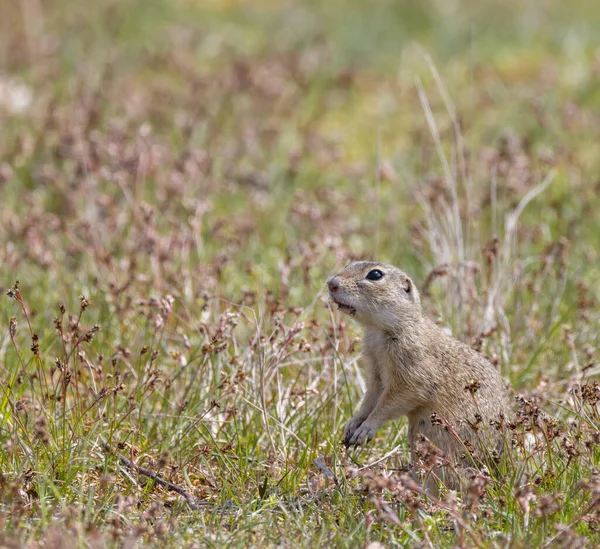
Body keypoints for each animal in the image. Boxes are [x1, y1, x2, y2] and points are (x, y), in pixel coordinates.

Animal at [326, 260, 512, 488]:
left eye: (375, 275)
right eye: (348, 264)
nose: (331, 283)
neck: (383, 331)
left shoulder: (412, 372)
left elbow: (392, 402)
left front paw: (366, 429)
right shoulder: (376, 373)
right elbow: (370, 399)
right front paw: (353, 424)